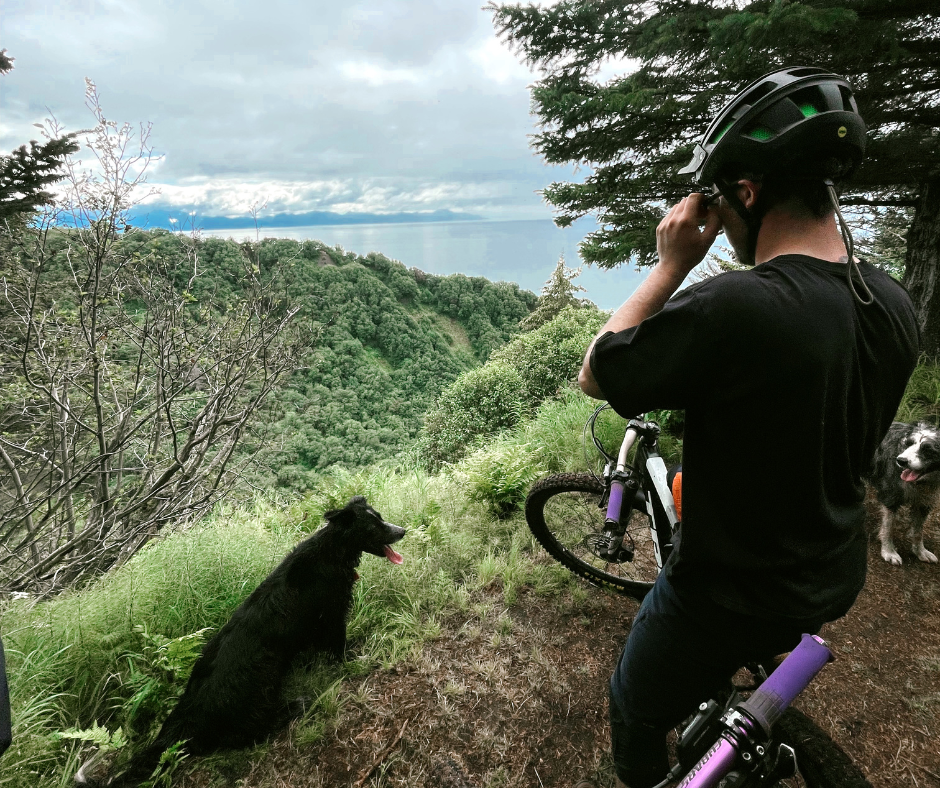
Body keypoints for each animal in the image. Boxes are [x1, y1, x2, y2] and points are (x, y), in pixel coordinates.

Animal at [75, 496, 406, 784]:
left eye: (379, 517)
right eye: (373, 525)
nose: (402, 531)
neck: (331, 551)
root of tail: (186, 717)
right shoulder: (332, 616)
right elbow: (339, 647)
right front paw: (353, 660)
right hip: (263, 674)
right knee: (252, 731)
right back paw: (295, 706)